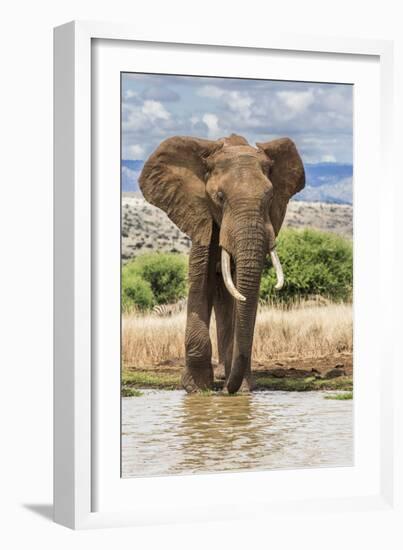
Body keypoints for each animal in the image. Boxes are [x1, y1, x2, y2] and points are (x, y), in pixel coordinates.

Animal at [140, 134, 306, 396]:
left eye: (270, 197)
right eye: (219, 197)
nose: (227, 391)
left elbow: (242, 296)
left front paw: (242, 389)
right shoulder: (201, 218)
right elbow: (201, 284)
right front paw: (197, 389)